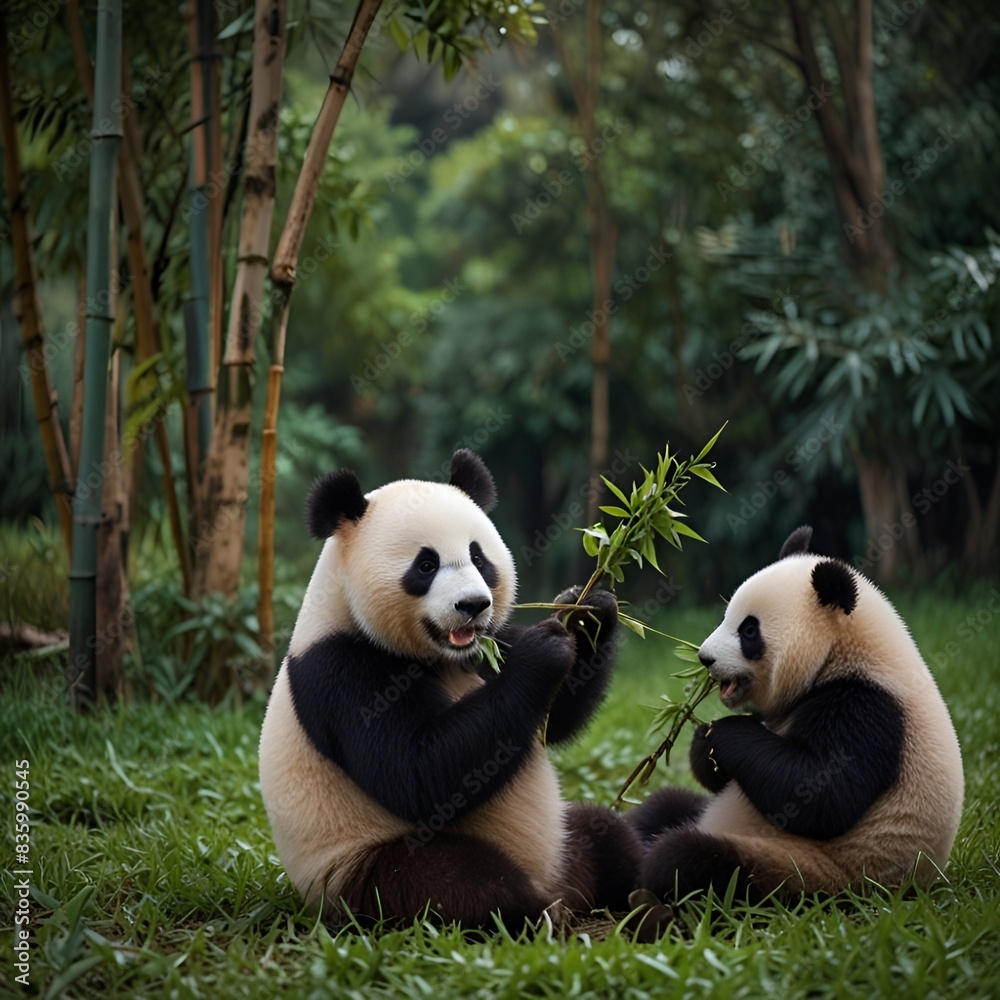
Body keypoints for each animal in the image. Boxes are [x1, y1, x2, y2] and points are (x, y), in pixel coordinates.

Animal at [258, 449, 640, 928]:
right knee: (453, 882)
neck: (440, 657)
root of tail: (563, 886)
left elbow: (551, 719)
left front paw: (589, 611)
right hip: (360, 872)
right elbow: (420, 774)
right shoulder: (339, 669)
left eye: (478, 557)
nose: (473, 605)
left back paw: (645, 892)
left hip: (565, 842)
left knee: (606, 832)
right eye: (426, 565)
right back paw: (536, 913)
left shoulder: (489, 648)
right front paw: (545, 650)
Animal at [629, 525, 964, 903]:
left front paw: (724, 734)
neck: (842, 650)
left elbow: (819, 791)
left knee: (692, 860)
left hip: (808, 872)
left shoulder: (867, 705)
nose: (704, 658)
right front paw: (703, 744)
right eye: (726, 617)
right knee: (663, 805)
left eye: (749, 630)